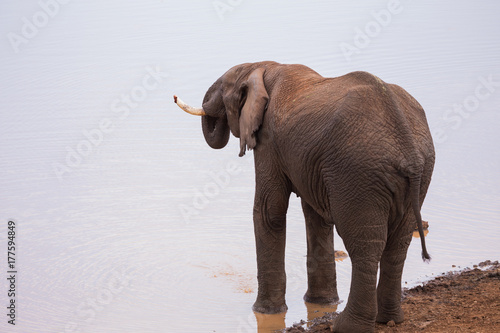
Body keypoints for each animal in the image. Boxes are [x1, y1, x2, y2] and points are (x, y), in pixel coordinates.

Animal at [174, 61, 436, 330]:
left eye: (223, 90)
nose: (174, 96)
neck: (262, 66)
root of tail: (406, 144)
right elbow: (315, 216)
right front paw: (321, 302)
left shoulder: (268, 141)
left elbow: (269, 212)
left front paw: (265, 311)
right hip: (417, 172)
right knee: (398, 243)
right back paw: (389, 319)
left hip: (359, 172)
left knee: (365, 246)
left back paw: (346, 326)